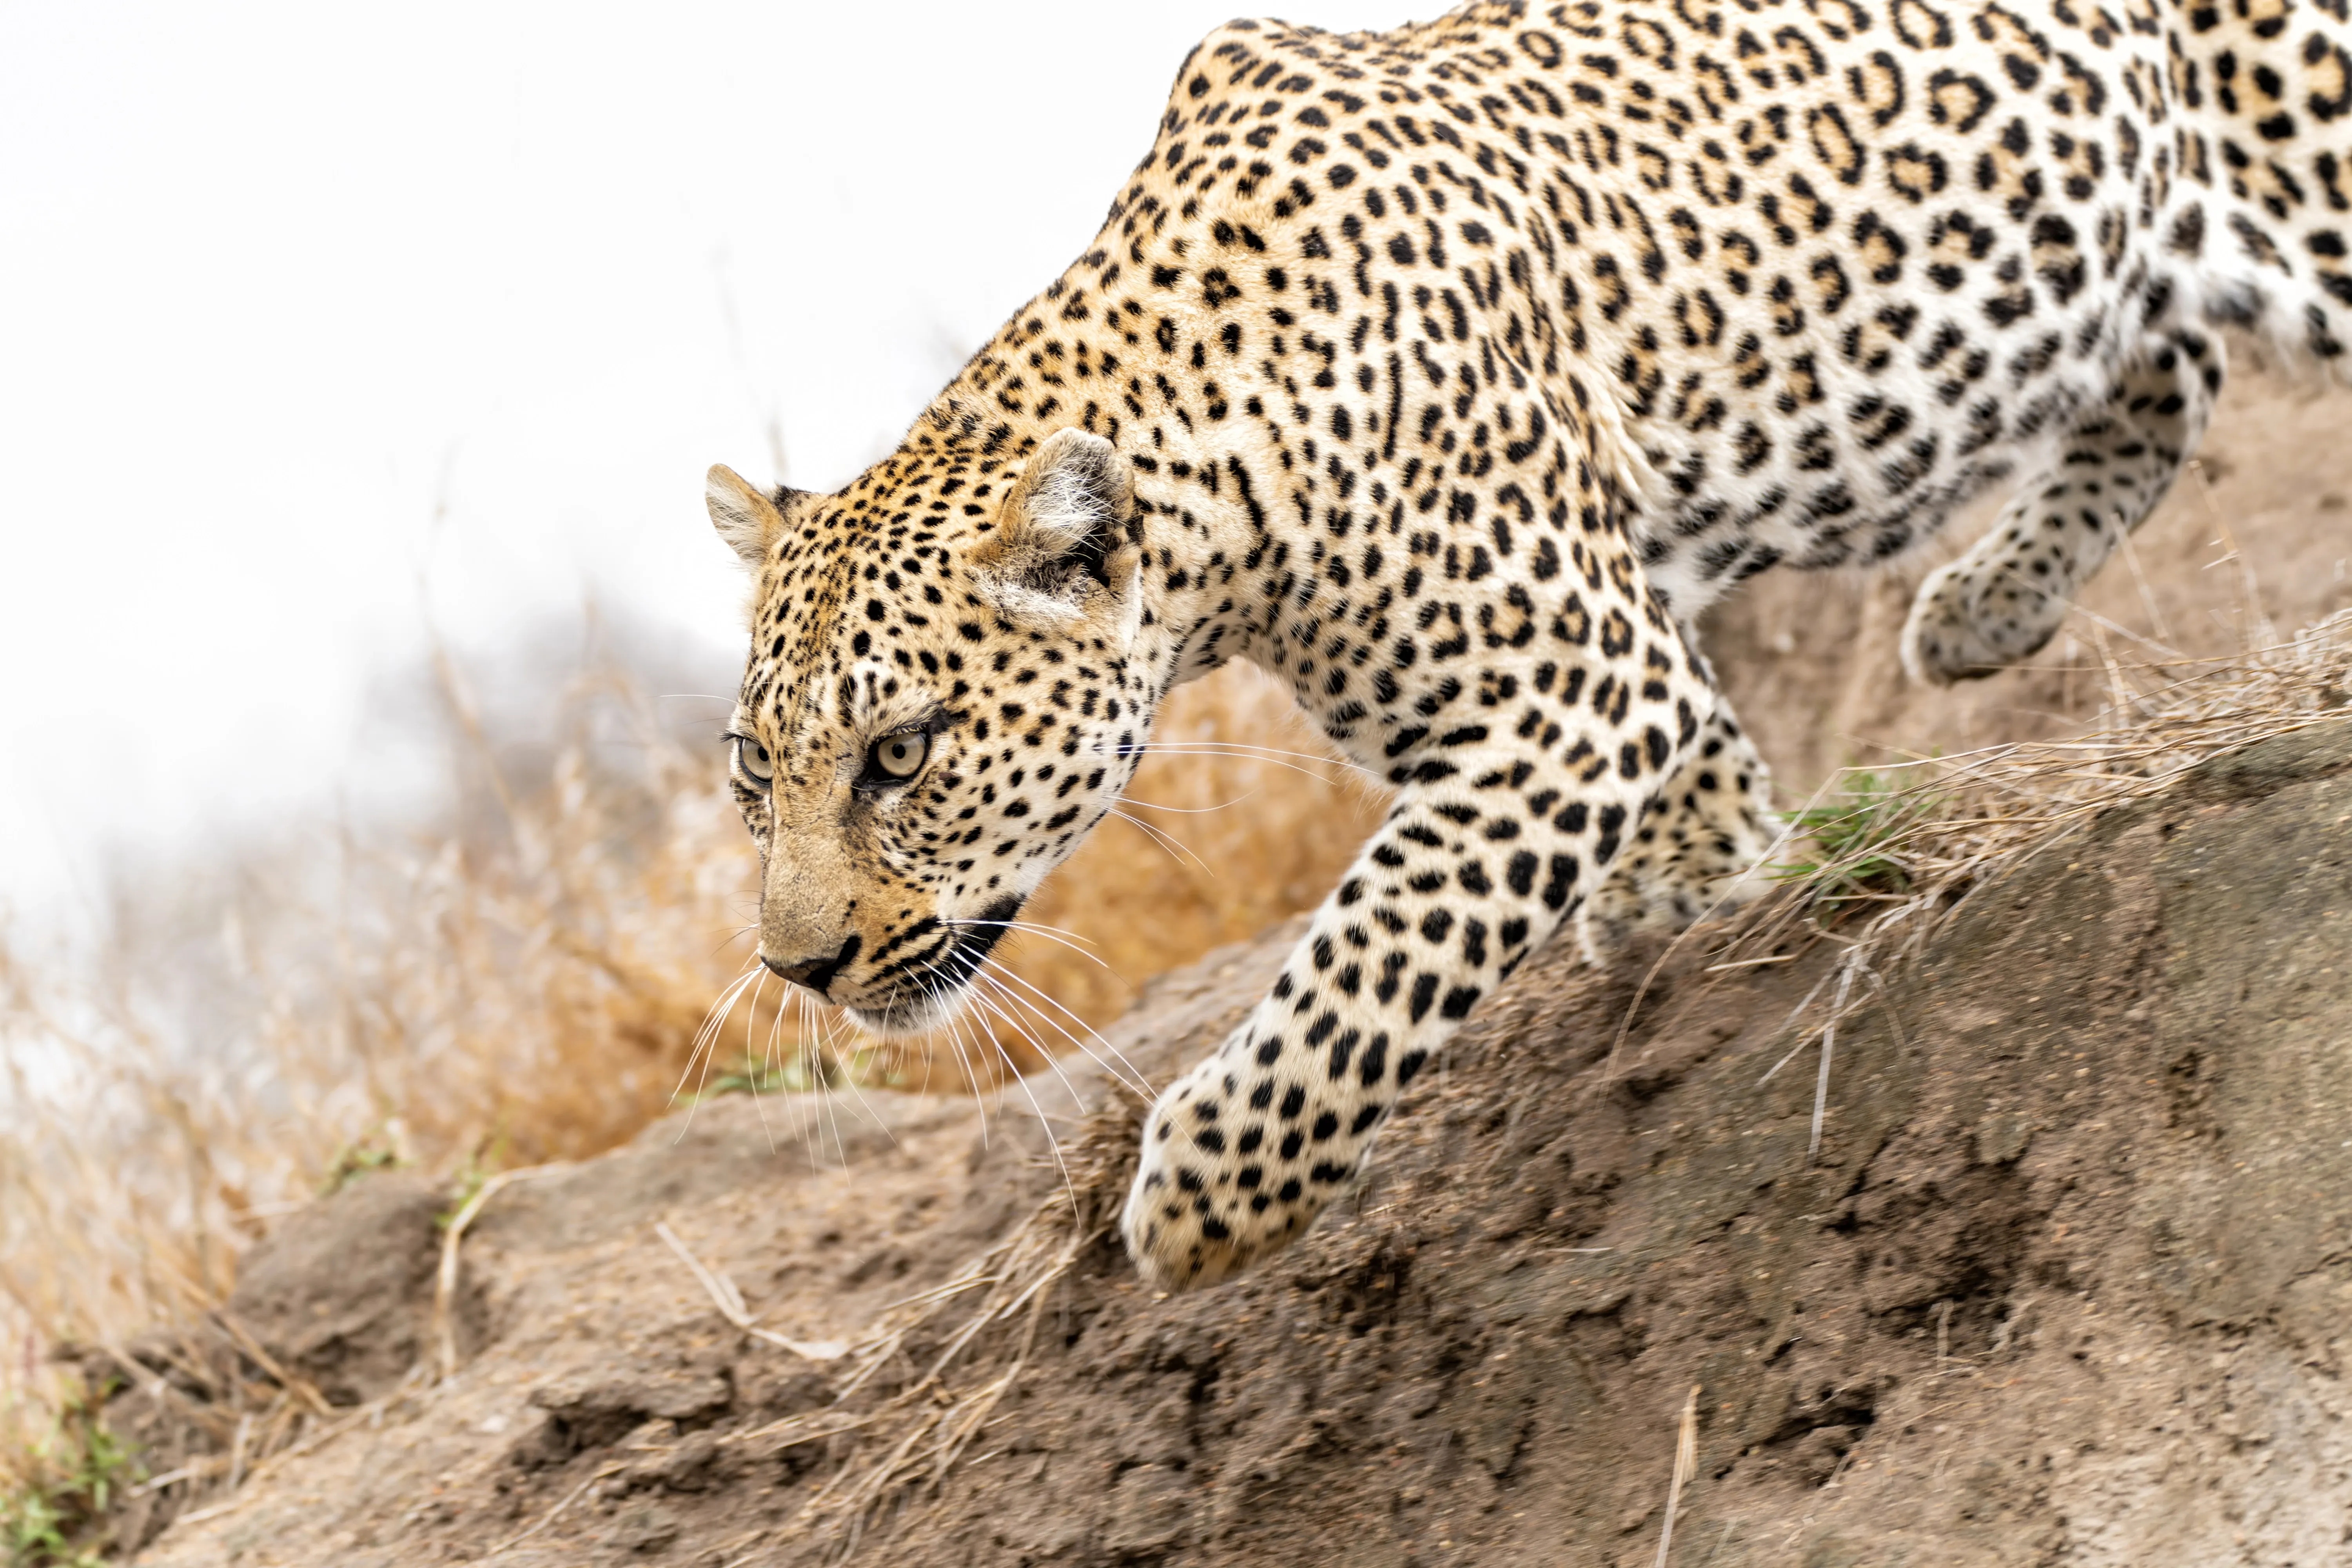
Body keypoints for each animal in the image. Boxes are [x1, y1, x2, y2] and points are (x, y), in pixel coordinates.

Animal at [702, 0, 2352, 1292]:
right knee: (2172, 360)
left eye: (901, 753)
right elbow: (1691, 757)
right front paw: (1706, 874)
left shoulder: (1569, 687)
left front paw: (1204, 1199)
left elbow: (1385, 941)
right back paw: (1982, 605)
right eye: (752, 773)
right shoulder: (1618, 639)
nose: (799, 966)